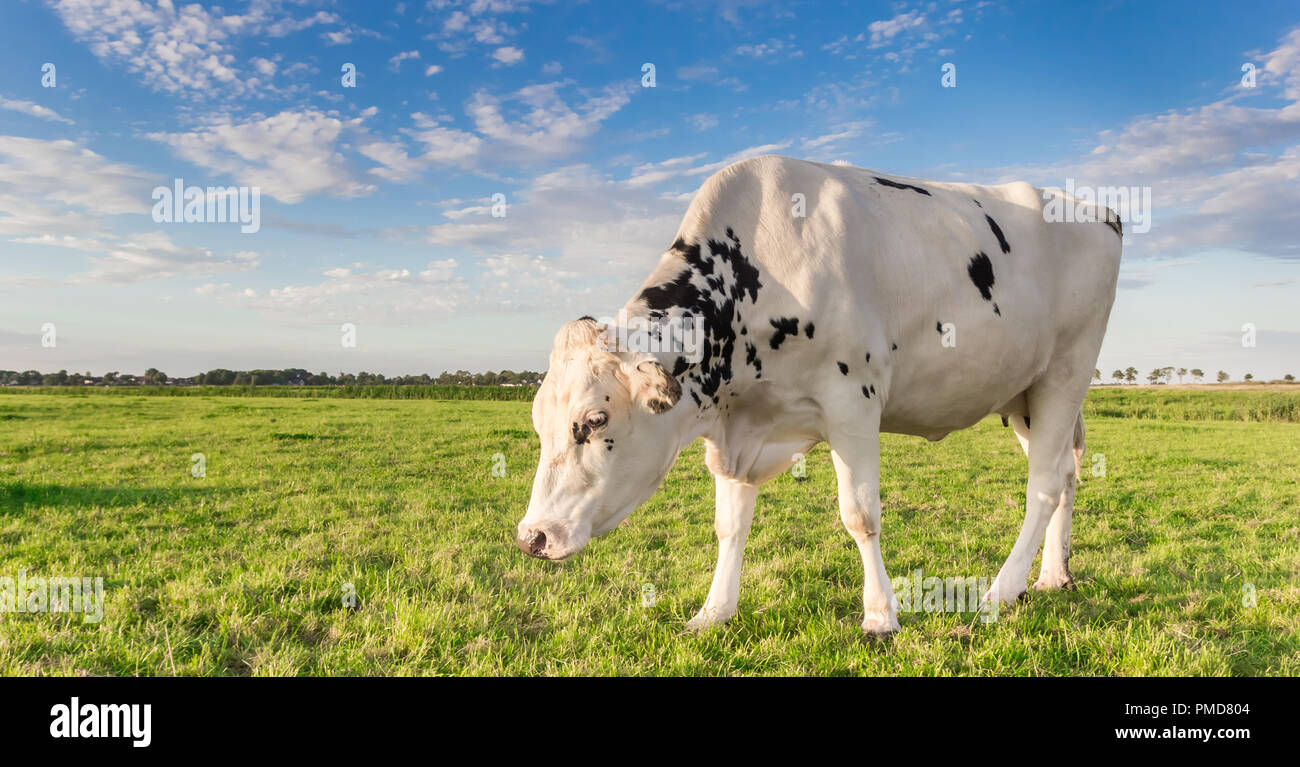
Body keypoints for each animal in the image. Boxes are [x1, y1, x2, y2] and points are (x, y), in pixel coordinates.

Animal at [516, 155, 1121, 635]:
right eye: (539, 425)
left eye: (595, 420)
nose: (532, 538)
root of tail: (1094, 210)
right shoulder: (739, 425)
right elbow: (729, 524)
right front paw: (713, 612)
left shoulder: (853, 402)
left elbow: (860, 515)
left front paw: (880, 617)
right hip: (1025, 394)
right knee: (1065, 472)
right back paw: (1053, 576)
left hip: (1066, 372)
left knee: (1043, 485)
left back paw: (1000, 592)